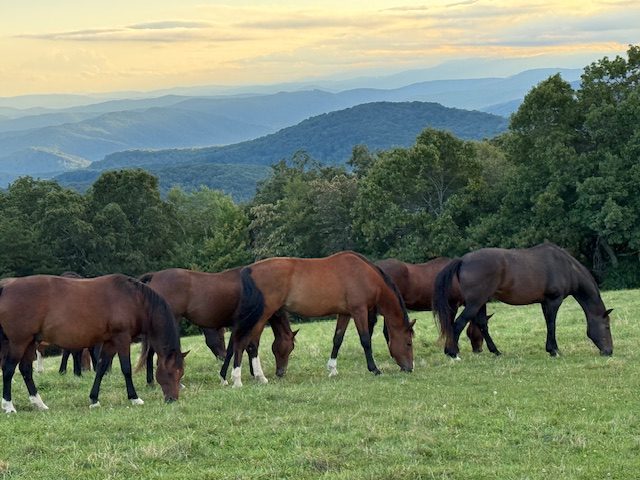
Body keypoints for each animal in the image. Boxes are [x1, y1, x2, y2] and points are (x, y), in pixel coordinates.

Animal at [0, 274, 187, 413]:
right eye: (172, 372)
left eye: (181, 373)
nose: (172, 399)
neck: (134, 299)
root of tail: (6, 286)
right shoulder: (122, 338)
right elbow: (126, 369)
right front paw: (134, 398)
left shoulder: (110, 341)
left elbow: (102, 367)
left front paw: (94, 399)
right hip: (18, 342)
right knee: (8, 369)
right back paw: (9, 406)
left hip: (30, 342)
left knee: (25, 370)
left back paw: (39, 403)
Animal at [139, 267, 298, 385]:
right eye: (290, 347)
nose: (281, 373)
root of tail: (154, 276)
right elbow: (243, 348)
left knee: (150, 352)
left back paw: (152, 382)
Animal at [229, 251, 415, 387]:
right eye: (408, 343)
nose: (409, 368)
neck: (364, 274)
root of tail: (249, 270)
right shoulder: (359, 311)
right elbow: (365, 340)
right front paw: (375, 369)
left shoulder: (345, 314)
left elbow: (337, 339)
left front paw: (332, 369)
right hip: (263, 315)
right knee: (248, 343)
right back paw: (245, 379)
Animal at [433, 242, 613, 359]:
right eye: (607, 326)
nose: (609, 351)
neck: (567, 267)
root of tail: (462, 260)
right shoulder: (553, 301)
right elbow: (552, 324)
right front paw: (554, 350)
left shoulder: (544, 302)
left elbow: (548, 323)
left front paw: (551, 349)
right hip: (474, 303)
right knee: (458, 324)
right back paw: (453, 353)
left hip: (481, 302)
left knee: (482, 324)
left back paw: (495, 351)